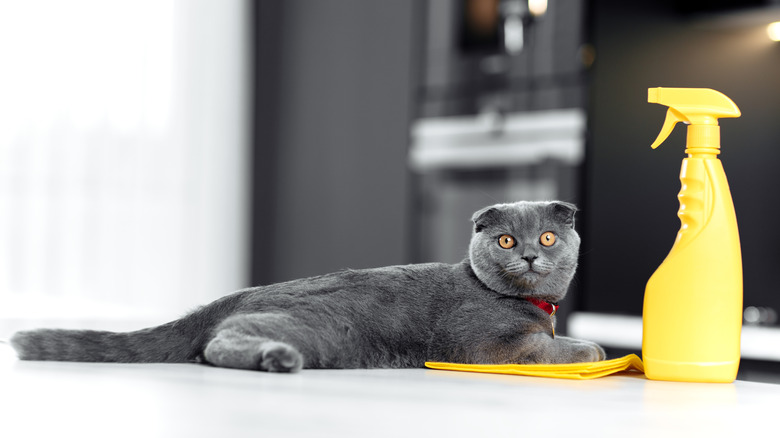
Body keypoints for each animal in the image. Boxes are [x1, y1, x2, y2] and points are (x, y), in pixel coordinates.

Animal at [10, 200, 604, 372]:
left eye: (548, 236)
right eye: (505, 240)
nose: (529, 254)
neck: (538, 308)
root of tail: (231, 296)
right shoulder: (489, 346)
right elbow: (553, 348)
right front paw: (593, 349)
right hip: (319, 328)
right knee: (215, 345)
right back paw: (276, 358)